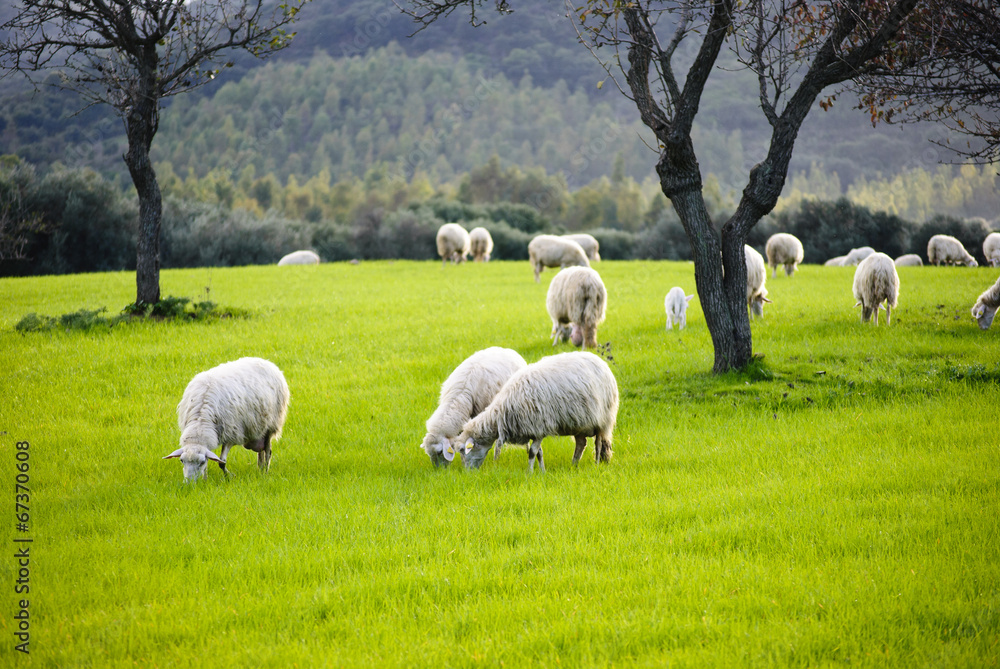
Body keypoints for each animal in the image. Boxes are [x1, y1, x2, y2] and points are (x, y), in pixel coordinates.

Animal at [456, 351, 619, 473]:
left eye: (465, 450)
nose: (468, 473)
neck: (501, 414)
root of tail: (601, 362)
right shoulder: (534, 430)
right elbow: (539, 453)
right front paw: (542, 471)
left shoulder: (540, 427)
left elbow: (533, 452)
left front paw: (529, 472)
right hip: (579, 423)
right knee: (581, 444)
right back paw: (574, 465)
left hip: (602, 418)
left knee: (598, 443)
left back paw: (596, 464)